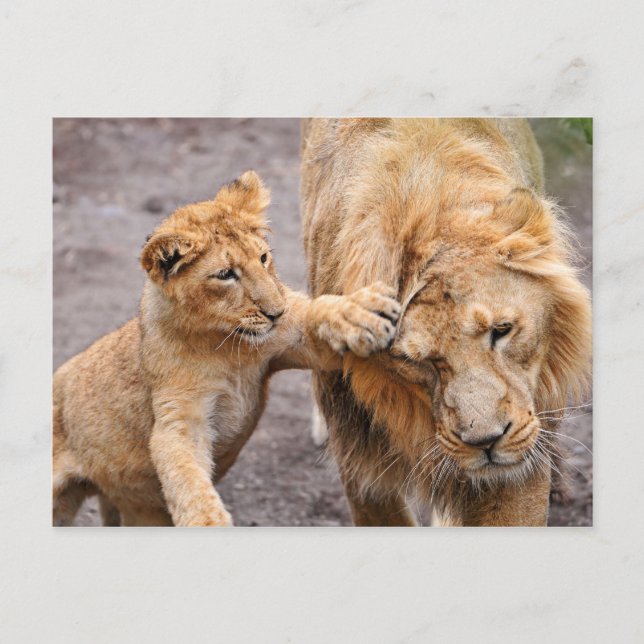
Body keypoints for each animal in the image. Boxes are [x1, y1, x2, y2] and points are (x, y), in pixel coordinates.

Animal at [53, 170, 401, 526]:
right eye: (225, 275)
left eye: (263, 258)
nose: (277, 312)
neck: (224, 347)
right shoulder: (178, 418)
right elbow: (188, 480)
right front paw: (209, 522)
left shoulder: (287, 344)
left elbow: (316, 313)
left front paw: (360, 313)